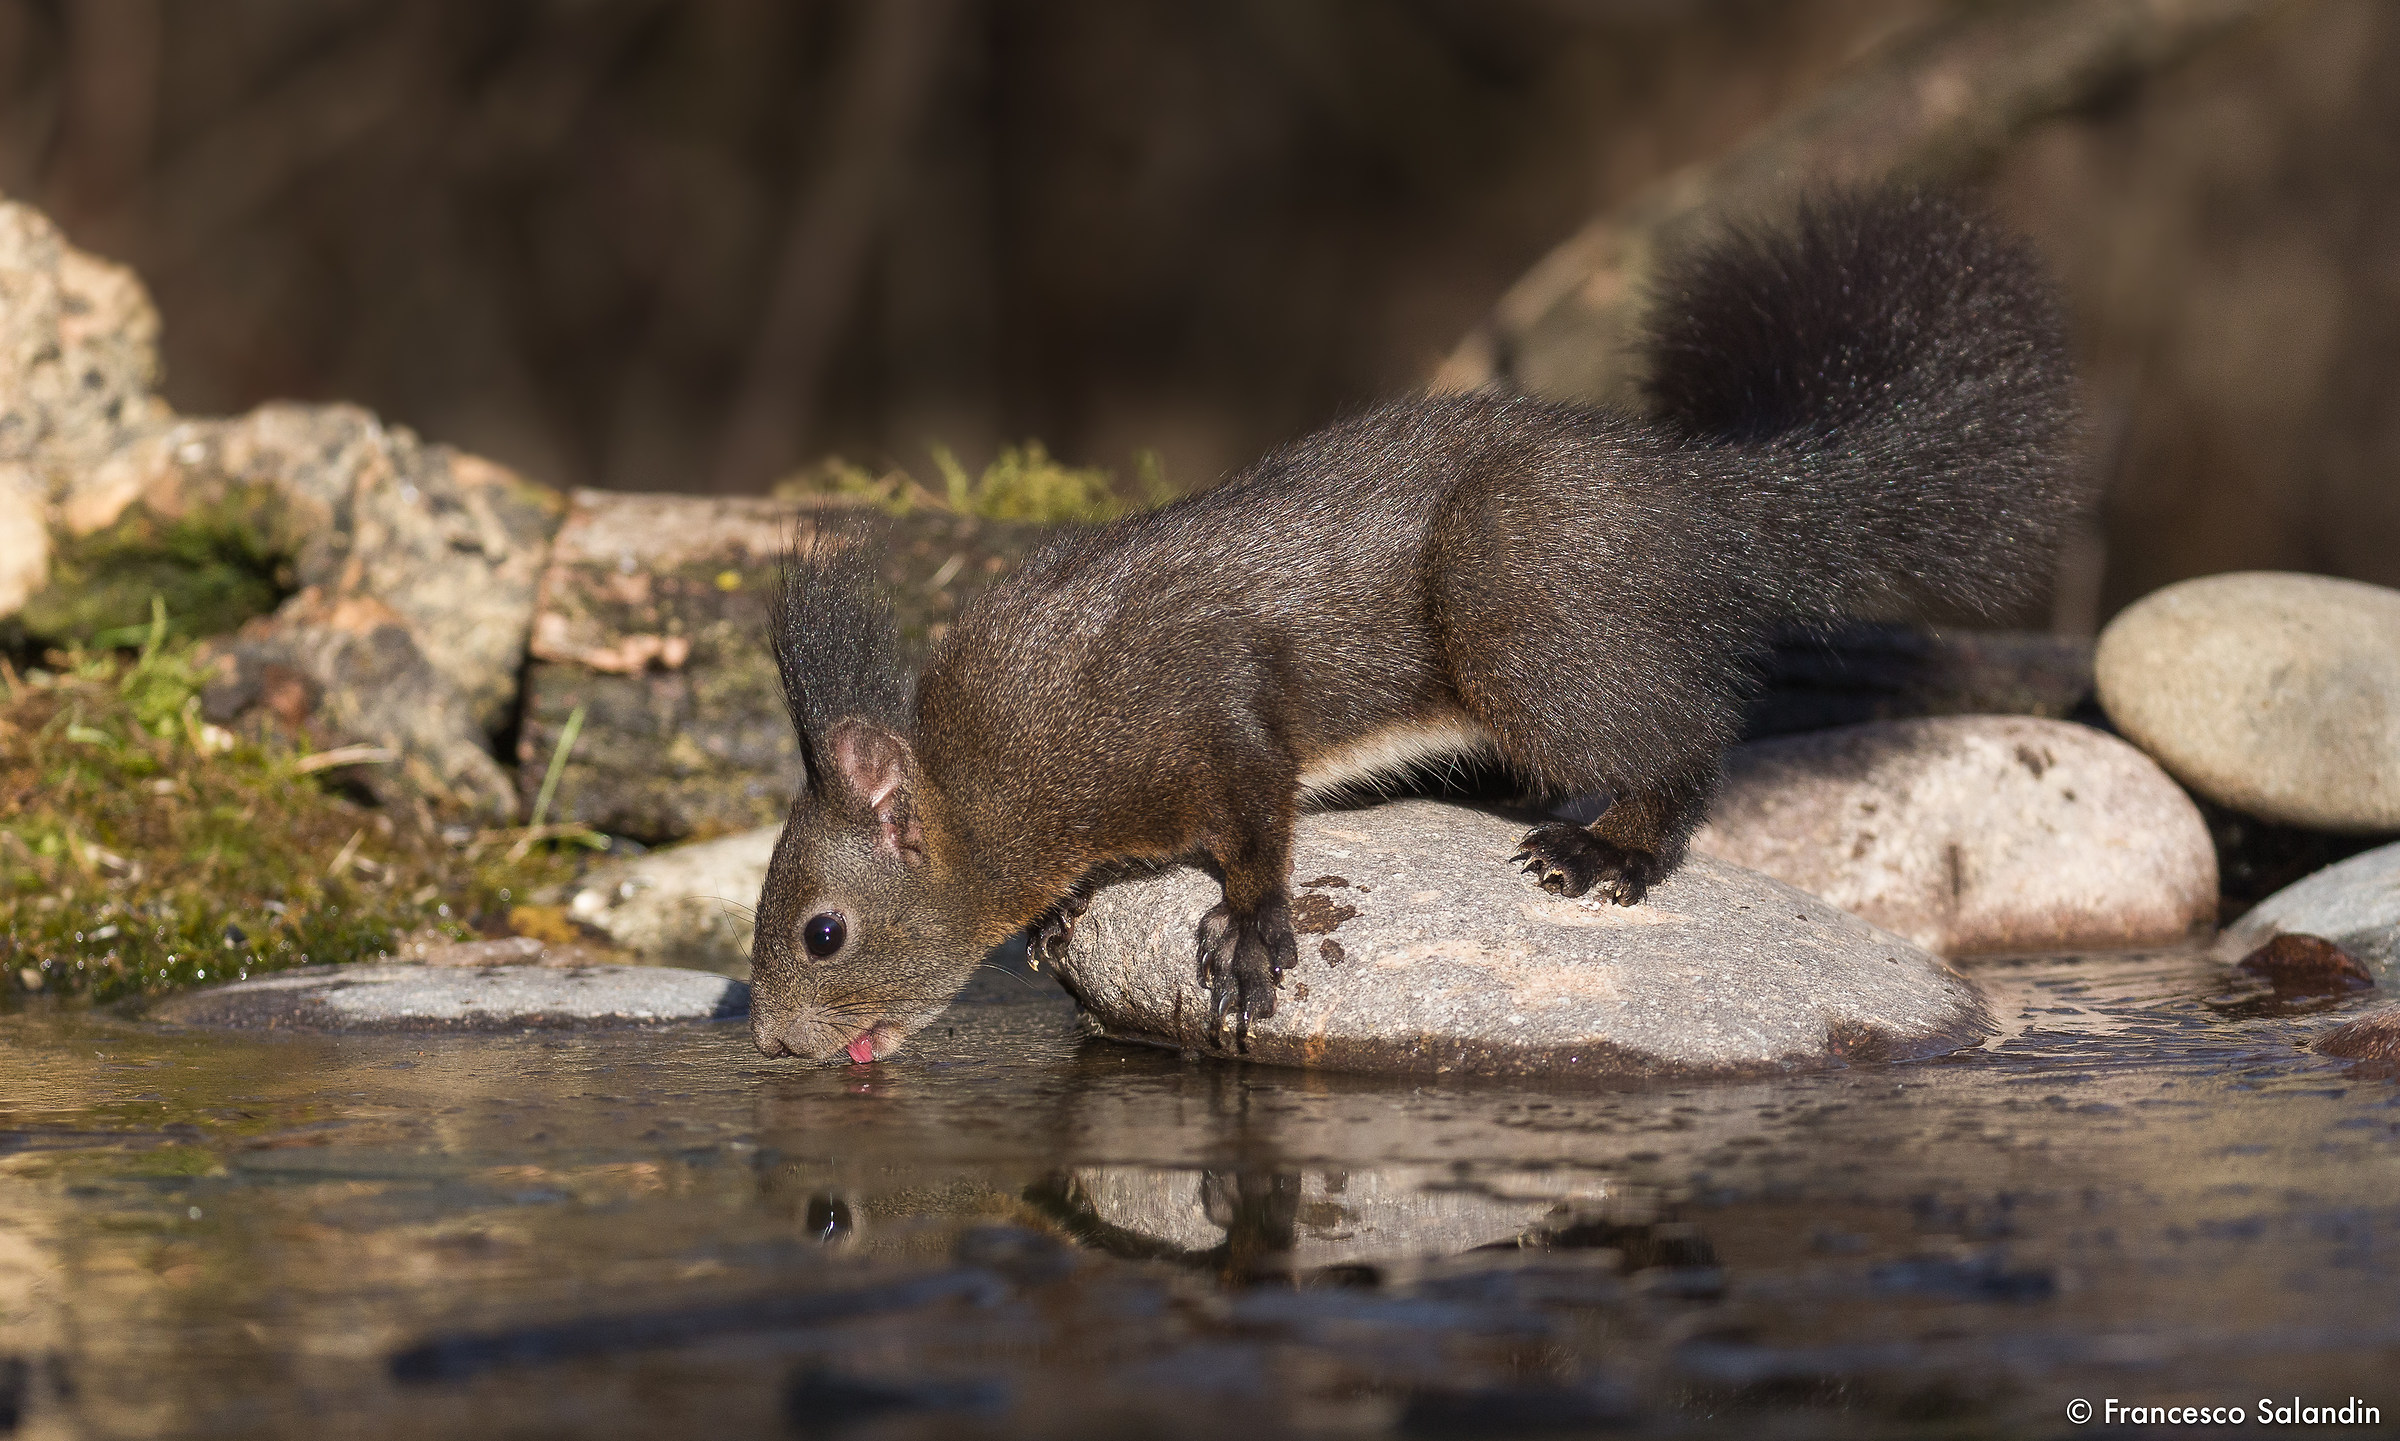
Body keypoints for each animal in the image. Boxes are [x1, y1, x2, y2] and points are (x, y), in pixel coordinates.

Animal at [747, 187, 2078, 1064]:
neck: (997, 774)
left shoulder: (1197, 700)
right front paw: (1065, 915)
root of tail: (1704, 502)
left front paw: (1251, 925)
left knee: (1685, 741)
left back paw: (1611, 850)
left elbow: (1254, 806)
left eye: (823, 933)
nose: (772, 1048)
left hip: (1521, 611)